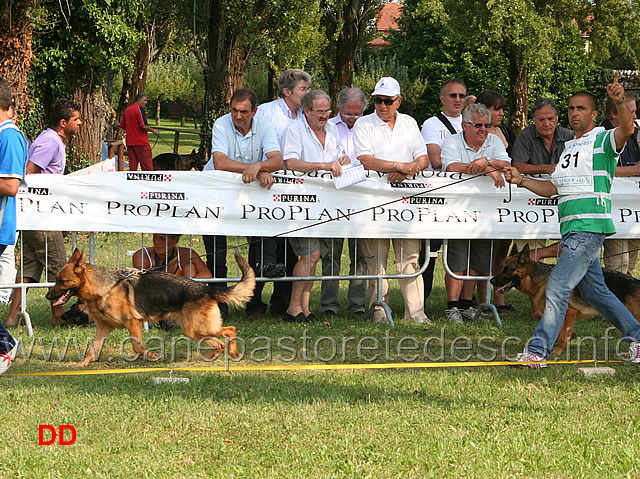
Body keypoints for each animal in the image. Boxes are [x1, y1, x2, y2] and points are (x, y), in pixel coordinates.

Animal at [45, 249, 255, 366]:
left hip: (196, 328)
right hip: (195, 330)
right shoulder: (103, 328)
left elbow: (137, 346)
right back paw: (212, 355)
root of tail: (206, 289)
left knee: (229, 330)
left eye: (62, 281)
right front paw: (82, 364)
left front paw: (152, 356)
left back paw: (231, 352)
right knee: (220, 341)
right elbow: (92, 349)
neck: (105, 288)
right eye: (56, 280)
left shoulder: (133, 323)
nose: (48, 296)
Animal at [490, 246, 640, 354]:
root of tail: (636, 281)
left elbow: (563, 336)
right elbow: (559, 332)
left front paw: (557, 352)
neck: (540, 280)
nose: (491, 281)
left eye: (507, 269)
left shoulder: (569, 312)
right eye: (501, 268)